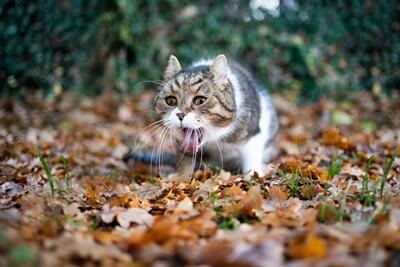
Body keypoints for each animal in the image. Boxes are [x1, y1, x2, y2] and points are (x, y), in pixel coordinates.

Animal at [125, 54, 278, 180]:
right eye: (170, 101)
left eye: (200, 100)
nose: (180, 114)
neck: (215, 139)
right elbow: (185, 162)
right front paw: (181, 180)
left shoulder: (253, 135)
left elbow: (251, 159)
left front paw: (254, 176)